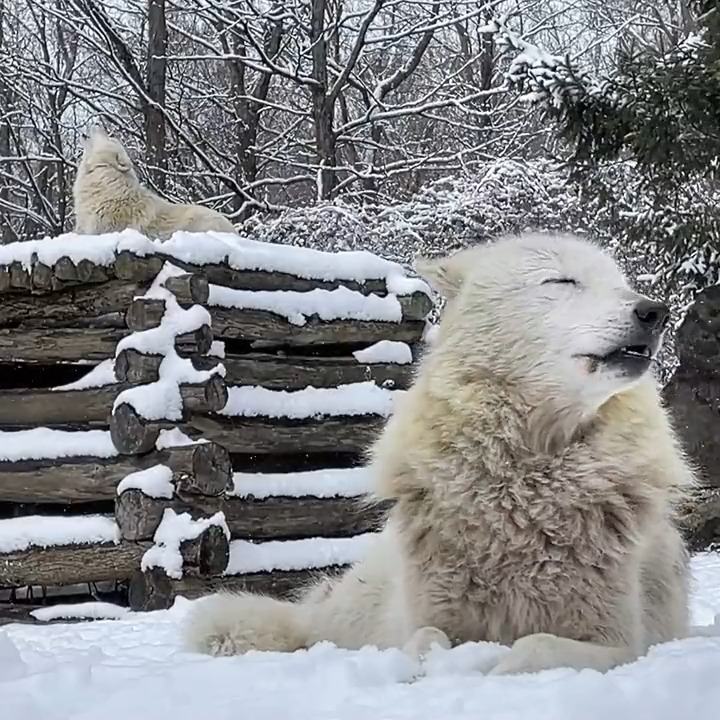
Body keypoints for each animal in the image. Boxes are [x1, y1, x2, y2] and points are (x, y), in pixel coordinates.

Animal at [182, 232, 695, 675]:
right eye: (562, 281)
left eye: (620, 283)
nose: (655, 312)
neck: (521, 493)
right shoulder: (430, 614)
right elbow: (425, 639)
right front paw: (427, 671)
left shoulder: (621, 643)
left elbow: (537, 646)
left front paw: (494, 670)